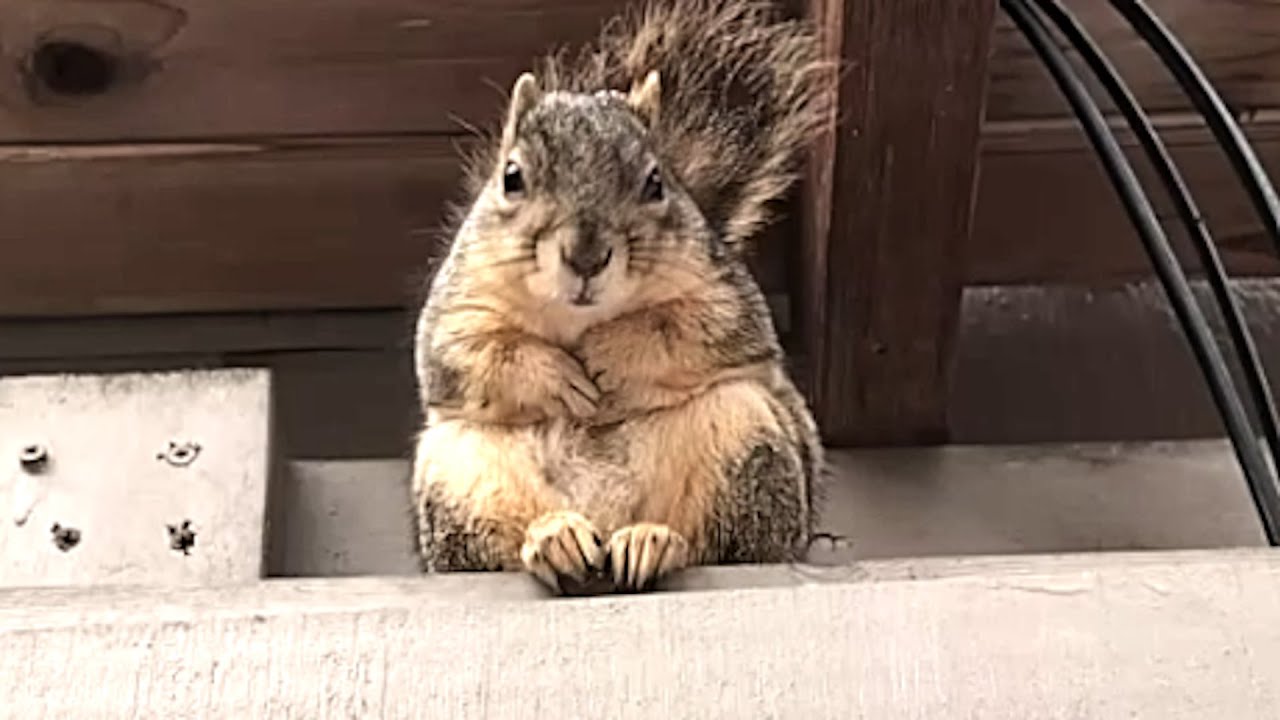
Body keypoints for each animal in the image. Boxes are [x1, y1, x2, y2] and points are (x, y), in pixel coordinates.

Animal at [411, 0, 833, 594]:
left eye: (656, 182)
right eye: (512, 177)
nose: (586, 257)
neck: (578, 318)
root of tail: (603, 533)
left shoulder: (727, 297)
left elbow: (683, 330)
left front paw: (610, 354)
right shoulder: (459, 303)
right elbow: (471, 353)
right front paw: (557, 376)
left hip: (745, 436)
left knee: (718, 546)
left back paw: (650, 542)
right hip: (463, 473)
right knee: (506, 551)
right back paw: (555, 540)